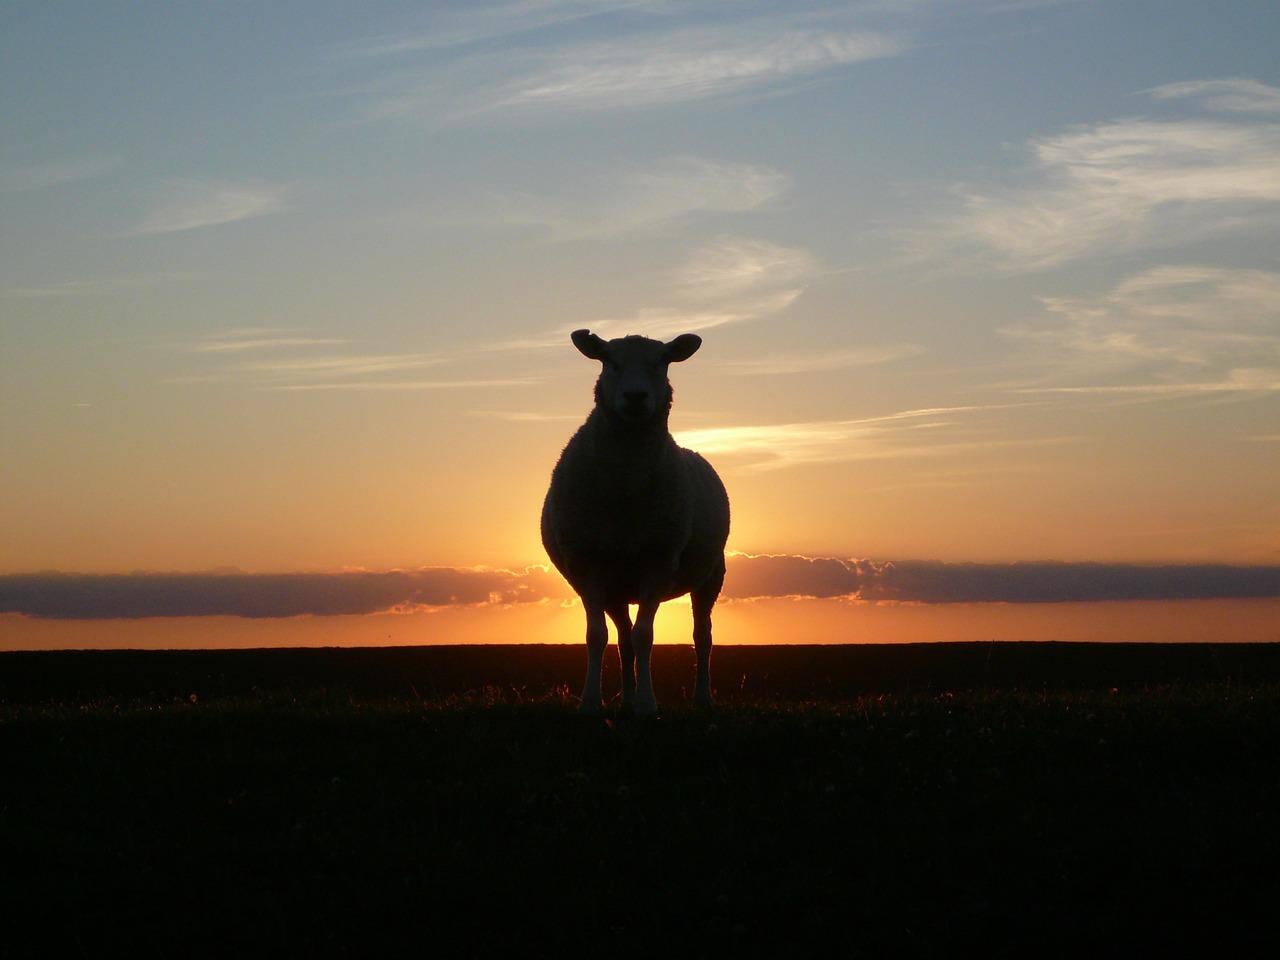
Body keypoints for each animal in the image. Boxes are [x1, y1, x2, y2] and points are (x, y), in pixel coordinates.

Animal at [540, 330, 732, 716]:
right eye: (608, 360)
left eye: (662, 361)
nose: (635, 396)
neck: (625, 484)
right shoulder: (587, 564)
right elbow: (597, 636)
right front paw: (591, 702)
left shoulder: (658, 561)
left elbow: (646, 636)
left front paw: (646, 703)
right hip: (616, 586)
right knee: (623, 638)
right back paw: (626, 698)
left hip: (711, 576)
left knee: (702, 637)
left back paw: (702, 698)